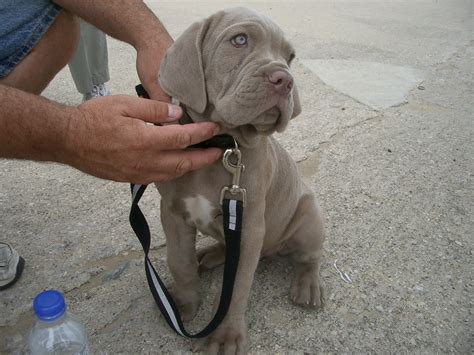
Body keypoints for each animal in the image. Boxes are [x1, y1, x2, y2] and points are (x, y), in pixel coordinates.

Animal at [157, 6, 324, 354]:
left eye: (289, 57)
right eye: (239, 40)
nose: (285, 80)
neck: (222, 144)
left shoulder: (249, 227)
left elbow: (235, 288)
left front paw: (225, 337)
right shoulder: (172, 212)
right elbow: (179, 260)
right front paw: (182, 302)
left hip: (309, 217)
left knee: (310, 256)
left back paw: (308, 285)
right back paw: (210, 254)